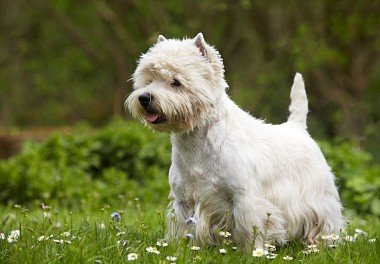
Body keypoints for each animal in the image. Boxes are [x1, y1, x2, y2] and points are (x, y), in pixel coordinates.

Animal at [126, 33, 346, 250]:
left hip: (318, 196)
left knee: (327, 221)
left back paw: (323, 244)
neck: (197, 141)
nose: (144, 98)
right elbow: (182, 229)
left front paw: (253, 252)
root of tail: (297, 128)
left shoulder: (245, 199)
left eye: (176, 82)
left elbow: (251, 230)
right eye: (148, 80)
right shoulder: (183, 200)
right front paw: (182, 250)